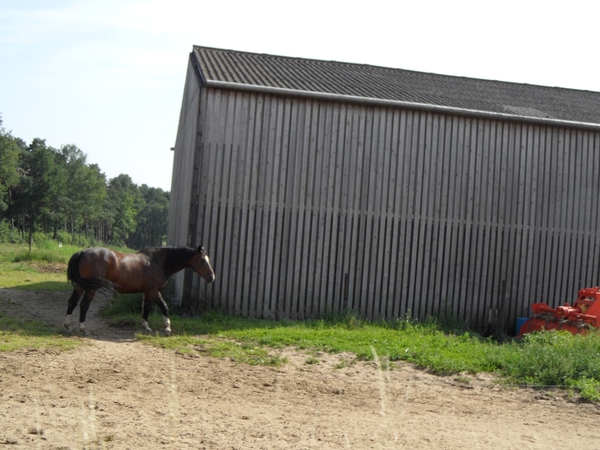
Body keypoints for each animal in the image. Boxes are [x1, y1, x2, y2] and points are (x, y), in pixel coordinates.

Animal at [64, 246, 214, 334]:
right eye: (203, 260)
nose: (212, 277)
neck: (158, 262)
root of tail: (82, 252)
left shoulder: (147, 292)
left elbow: (146, 309)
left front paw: (146, 327)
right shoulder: (154, 291)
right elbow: (164, 306)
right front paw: (167, 327)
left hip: (80, 286)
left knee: (72, 302)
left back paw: (68, 326)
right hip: (91, 288)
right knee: (84, 305)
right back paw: (83, 328)